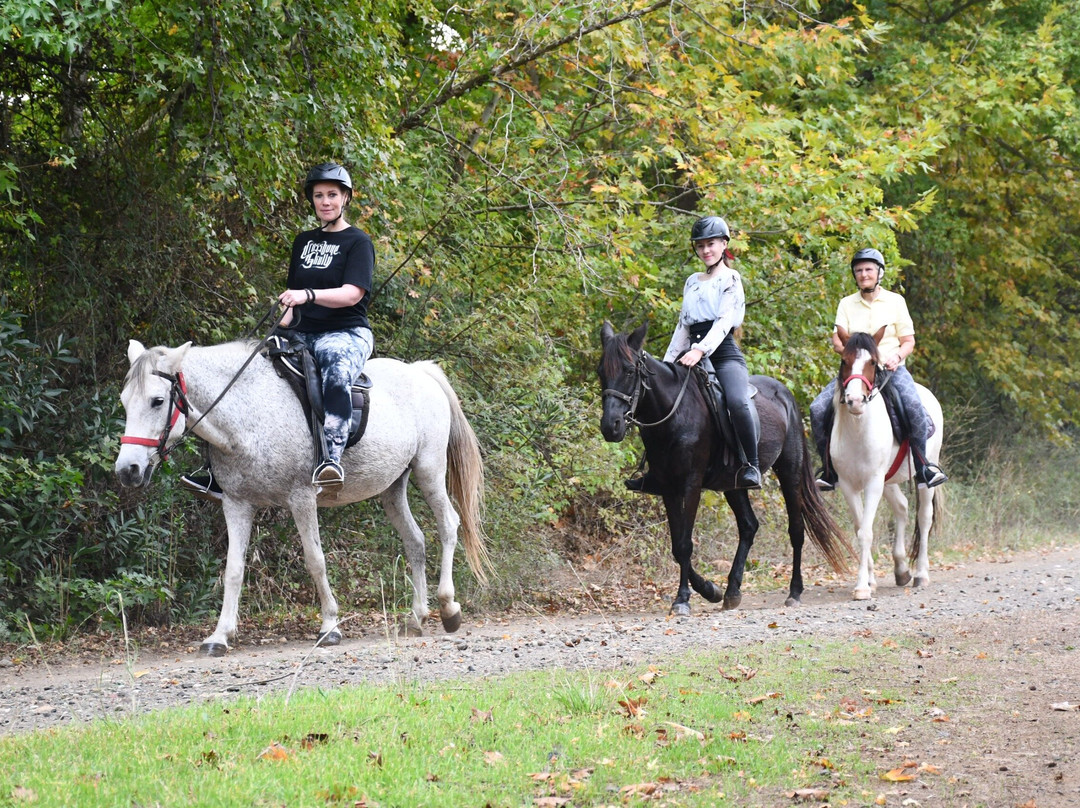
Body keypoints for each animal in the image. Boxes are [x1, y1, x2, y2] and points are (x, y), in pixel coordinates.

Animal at [115, 339, 489, 656]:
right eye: (124, 401)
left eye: (157, 401)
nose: (127, 470)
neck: (248, 413)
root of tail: (420, 372)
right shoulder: (237, 504)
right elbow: (234, 569)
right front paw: (219, 636)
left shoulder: (301, 498)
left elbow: (315, 560)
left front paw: (330, 626)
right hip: (392, 489)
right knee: (415, 542)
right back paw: (416, 617)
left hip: (429, 471)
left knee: (448, 525)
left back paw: (448, 607)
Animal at [598, 322, 851, 616]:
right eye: (601, 372)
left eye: (629, 370)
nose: (611, 426)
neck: (675, 413)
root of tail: (785, 394)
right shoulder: (668, 487)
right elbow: (676, 546)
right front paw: (710, 590)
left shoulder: (691, 484)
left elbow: (684, 543)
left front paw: (683, 600)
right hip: (734, 483)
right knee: (749, 526)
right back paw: (732, 592)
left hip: (790, 471)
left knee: (796, 530)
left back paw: (794, 592)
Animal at [830, 326, 942, 600]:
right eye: (844, 361)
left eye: (872, 362)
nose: (855, 400)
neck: (858, 431)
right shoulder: (848, 485)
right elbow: (860, 528)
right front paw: (870, 582)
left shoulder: (873, 483)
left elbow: (866, 532)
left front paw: (861, 587)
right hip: (889, 480)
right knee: (902, 507)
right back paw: (901, 569)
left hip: (923, 476)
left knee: (924, 517)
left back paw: (921, 575)